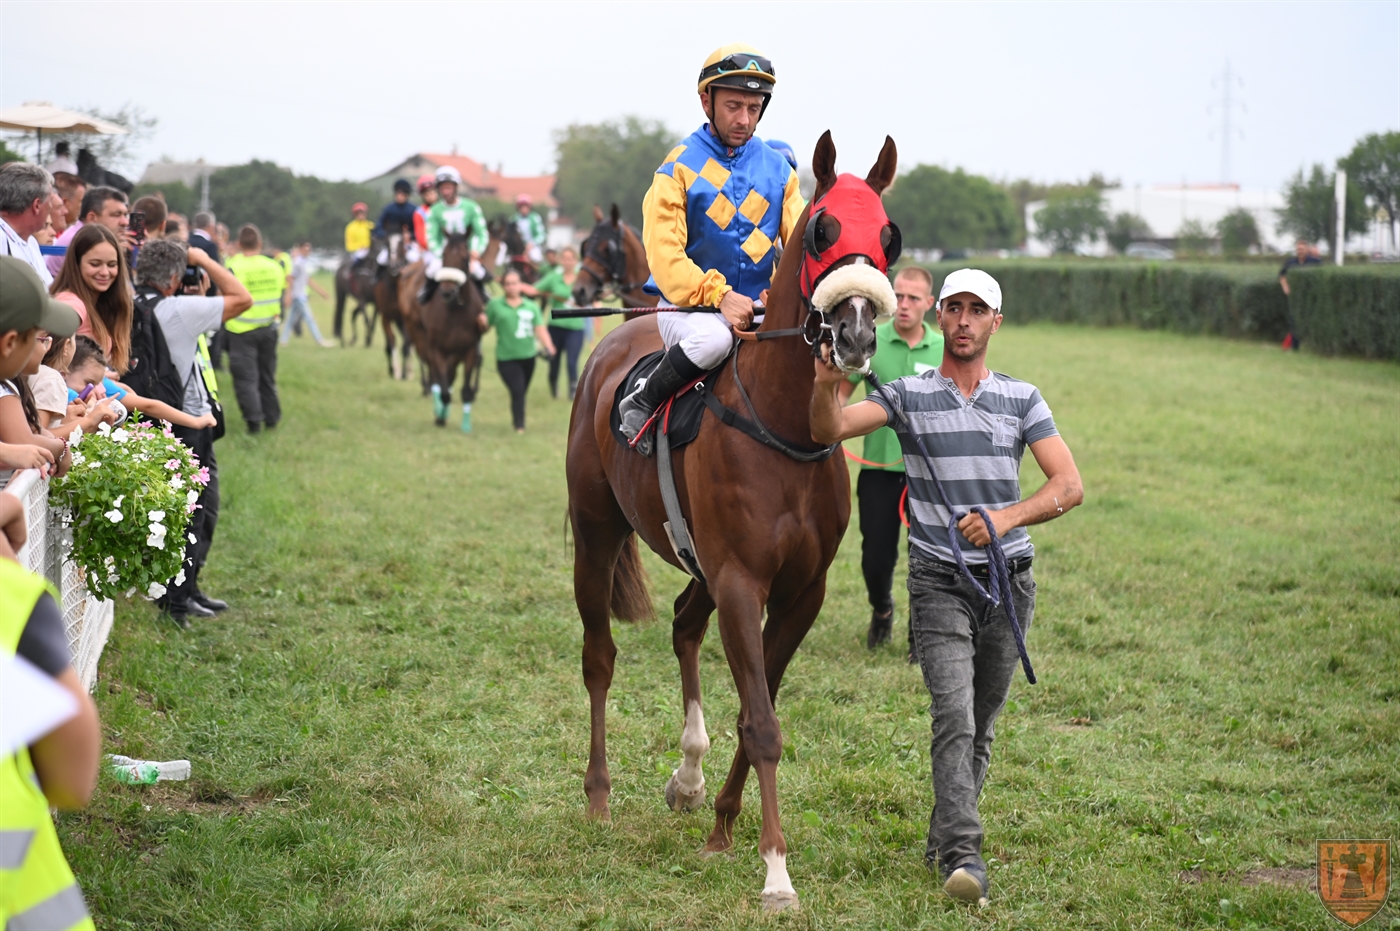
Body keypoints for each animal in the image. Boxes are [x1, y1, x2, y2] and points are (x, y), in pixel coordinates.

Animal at [372, 231, 414, 380]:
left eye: (402, 243)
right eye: (387, 244)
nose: (395, 266)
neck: (395, 286)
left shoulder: (406, 319)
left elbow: (406, 344)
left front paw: (405, 373)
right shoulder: (386, 317)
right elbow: (392, 342)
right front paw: (396, 371)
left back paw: (410, 370)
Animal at [397, 231, 485, 428]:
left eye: (465, 258)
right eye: (444, 256)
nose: (447, 292)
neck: (456, 309)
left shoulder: (468, 349)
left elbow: (463, 388)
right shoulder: (437, 349)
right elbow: (443, 389)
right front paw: (440, 415)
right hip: (417, 333)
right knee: (432, 369)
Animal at [565, 132, 899, 912]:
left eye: (889, 236)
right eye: (823, 230)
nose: (855, 332)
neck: (785, 430)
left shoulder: (799, 590)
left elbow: (757, 710)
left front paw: (722, 825)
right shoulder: (744, 582)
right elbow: (764, 721)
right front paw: (776, 870)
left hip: (700, 563)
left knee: (685, 624)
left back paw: (687, 776)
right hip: (597, 534)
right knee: (600, 657)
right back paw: (598, 795)